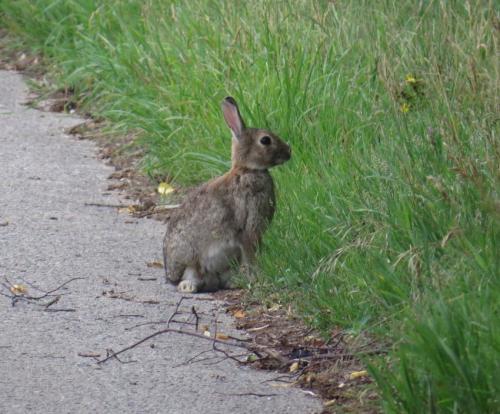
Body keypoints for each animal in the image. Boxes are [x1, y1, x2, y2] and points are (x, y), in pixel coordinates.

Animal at [162, 96, 292, 294]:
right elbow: (251, 254)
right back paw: (189, 286)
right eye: (265, 140)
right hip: (192, 259)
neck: (247, 170)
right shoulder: (249, 227)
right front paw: (257, 279)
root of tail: (169, 274)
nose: (289, 151)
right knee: (191, 276)